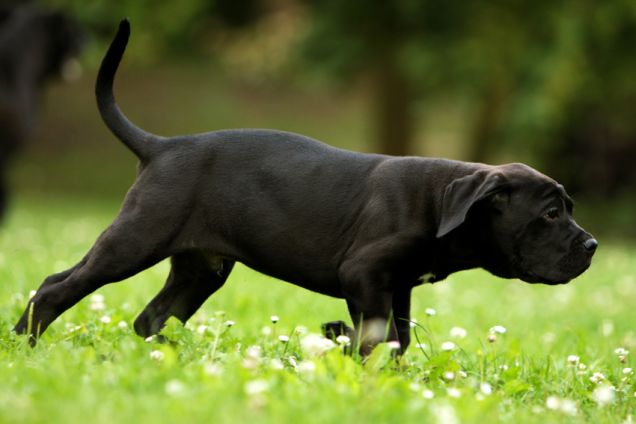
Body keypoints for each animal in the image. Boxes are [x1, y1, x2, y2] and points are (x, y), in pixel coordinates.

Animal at [13, 20, 596, 354]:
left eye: (568, 208)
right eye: (550, 214)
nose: (590, 245)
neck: (441, 203)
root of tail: (163, 145)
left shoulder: (397, 285)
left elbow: (398, 337)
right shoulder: (362, 273)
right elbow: (379, 336)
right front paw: (345, 345)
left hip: (201, 269)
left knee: (151, 317)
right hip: (136, 238)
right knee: (56, 286)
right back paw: (25, 345)